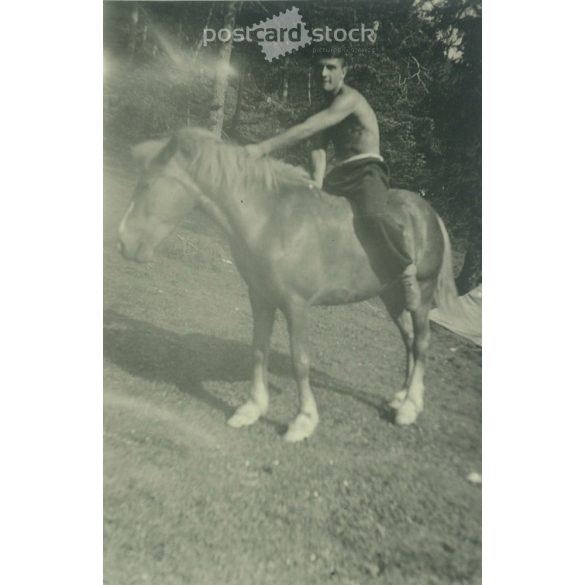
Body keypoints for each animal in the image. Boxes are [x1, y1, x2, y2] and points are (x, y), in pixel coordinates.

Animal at [117, 125, 456, 440]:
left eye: (147, 184)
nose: (123, 241)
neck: (272, 218)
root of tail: (429, 214)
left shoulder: (297, 305)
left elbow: (300, 360)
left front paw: (303, 420)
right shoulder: (260, 298)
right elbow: (258, 349)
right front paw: (252, 408)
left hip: (422, 295)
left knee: (422, 343)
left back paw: (410, 407)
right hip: (392, 296)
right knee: (409, 340)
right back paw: (399, 397)